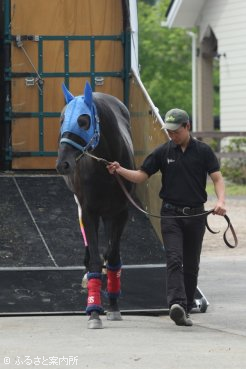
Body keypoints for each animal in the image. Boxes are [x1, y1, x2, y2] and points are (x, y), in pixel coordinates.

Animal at [56, 81, 135, 328]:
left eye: (84, 120)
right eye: (62, 119)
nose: (63, 163)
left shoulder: (121, 213)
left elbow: (113, 257)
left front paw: (113, 306)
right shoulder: (89, 211)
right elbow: (94, 259)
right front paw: (93, 311)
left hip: (109, 214)